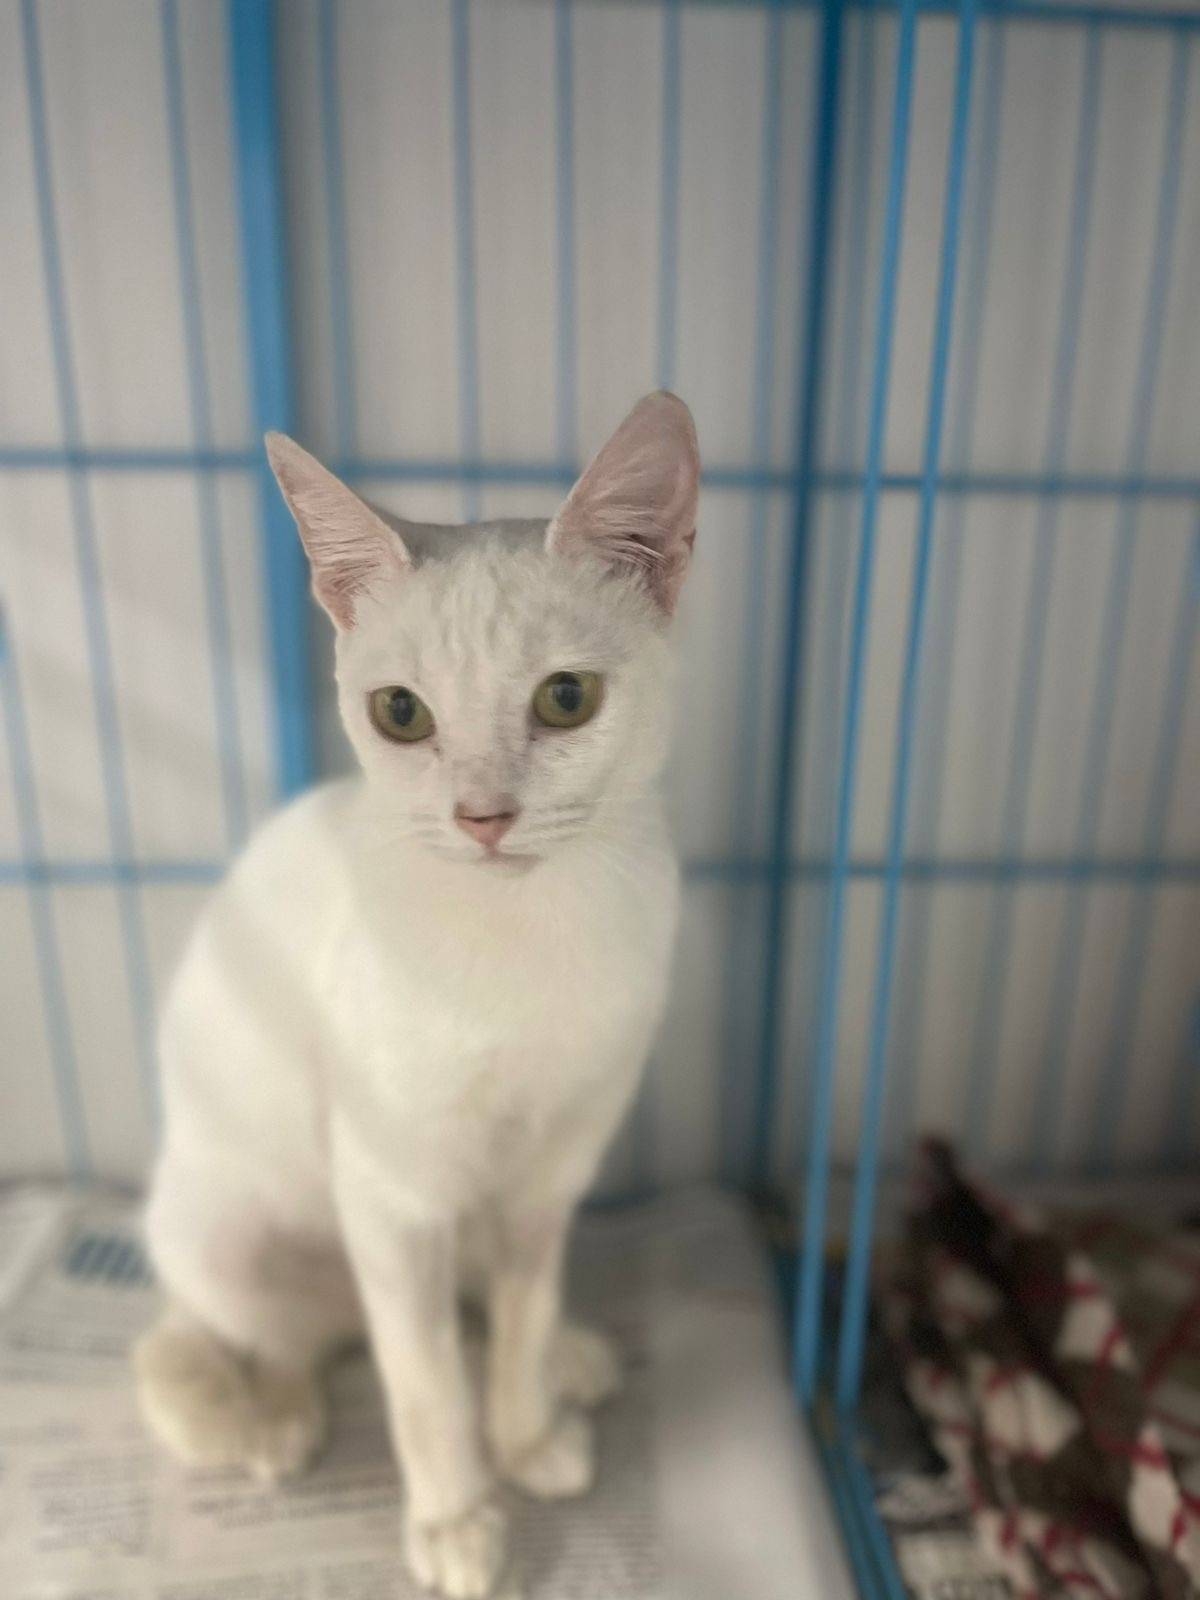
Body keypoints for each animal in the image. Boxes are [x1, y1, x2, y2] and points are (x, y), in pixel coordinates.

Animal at [135, 391, 699, 1599]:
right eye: (399, 713)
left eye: (567, 698)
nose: (482, 817)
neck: (524, 947)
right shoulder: (392, 1193)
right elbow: (424, 1384)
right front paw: (455, 1517)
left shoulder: (557, 1161)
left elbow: (523, 1310)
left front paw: (524, 1433)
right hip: (231, 1232)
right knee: (271, 1341)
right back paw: (273, 1419)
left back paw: (569, 1359)